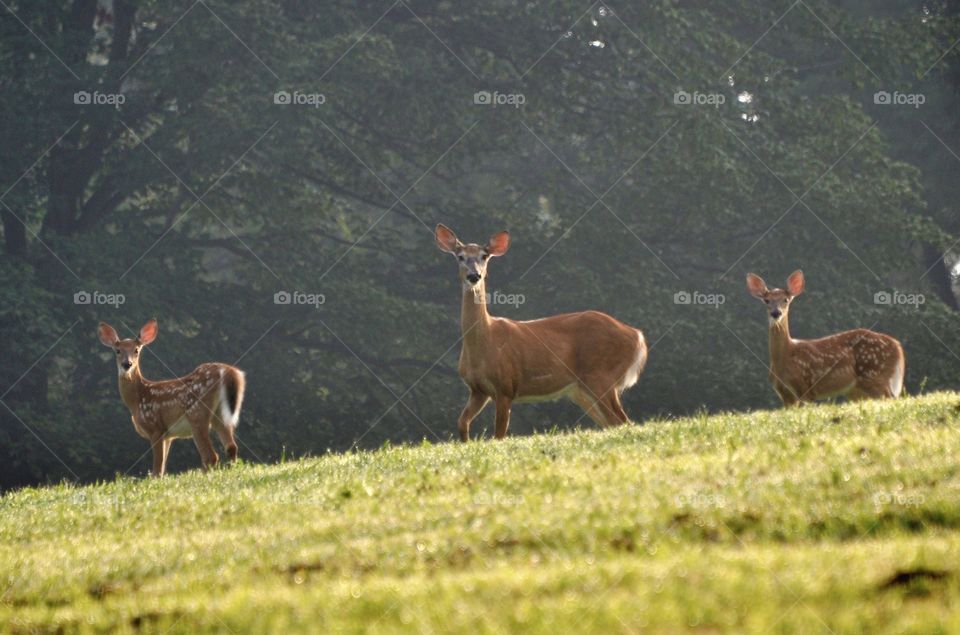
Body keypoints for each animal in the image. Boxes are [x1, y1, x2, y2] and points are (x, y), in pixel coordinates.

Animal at [97, 318, 246, 476]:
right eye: (117, 351)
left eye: (136, 350)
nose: (127, 364)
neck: (137, 400)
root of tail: (227, 370)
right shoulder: (169, 436)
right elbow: (163, 469)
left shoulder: (155, 427)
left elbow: (157, 470)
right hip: (220, 414)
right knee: (231, 447)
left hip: (197, 413)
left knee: (211, 456)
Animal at [436, 225, 648, 442]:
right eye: (460, 256)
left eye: (484, 256)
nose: (474, 276)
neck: (484, 343)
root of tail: (637, 336)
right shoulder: (477, 389)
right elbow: (462, 422)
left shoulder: (506, 386)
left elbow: (499, 435)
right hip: (582, 390)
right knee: (614, 423)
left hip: (602, 374)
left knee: (622, 421)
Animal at [748, 270, 904, 404]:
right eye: (766, 300)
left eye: (786, 299)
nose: (776, 313)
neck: (785, 358)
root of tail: (897, 346)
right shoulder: (785, 395)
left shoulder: (805, 388)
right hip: (857, 389)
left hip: (874, 374)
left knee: (891, 397)